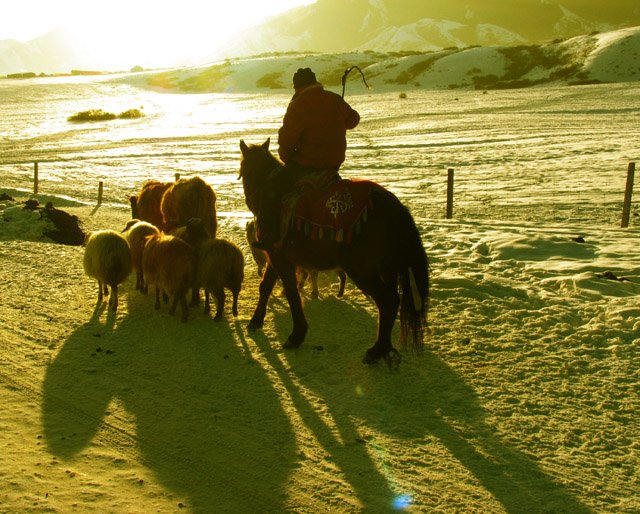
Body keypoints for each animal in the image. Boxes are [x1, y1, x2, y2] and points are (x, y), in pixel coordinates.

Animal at [238, 138, 428, 366]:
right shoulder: (276, 257)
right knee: (393, 300)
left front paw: (296, 335)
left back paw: (375, 351)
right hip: (386, 269)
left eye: (244, 169)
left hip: (362, 270)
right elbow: (266, 286)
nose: (250, 199)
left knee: (387, 301)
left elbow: (291, 293)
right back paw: (385, 348)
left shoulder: (280, 259)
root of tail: (395, 207)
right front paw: (256, 321)